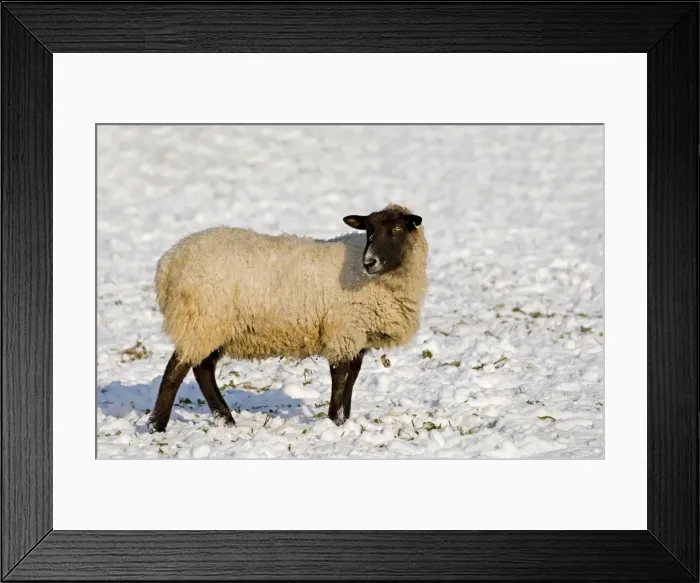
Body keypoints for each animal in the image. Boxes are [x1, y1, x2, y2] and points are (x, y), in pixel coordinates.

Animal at [147, 203, 429, 432]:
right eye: (369, 230)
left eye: (398, 229)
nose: (369, 262)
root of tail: (168, 262)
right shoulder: (342, 330)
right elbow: (340, 376)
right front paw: (335, 421)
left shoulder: (356, 334)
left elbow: (353, 376)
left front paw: (344, 419)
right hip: (200, 319)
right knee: (175, 371)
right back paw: (156, 426)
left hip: (213, 325)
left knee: (202, 369)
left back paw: (225, 420)